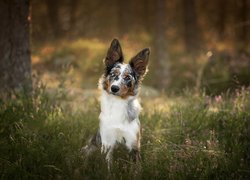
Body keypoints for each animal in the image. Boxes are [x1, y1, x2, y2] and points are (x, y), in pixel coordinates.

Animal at [83, 38, 149, 168]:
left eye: (127, 77)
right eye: (113, 74)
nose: (114, 88)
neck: (118, 104)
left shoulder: (133, 144)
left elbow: (136, 168)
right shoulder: (107, 142)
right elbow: (108, 166)